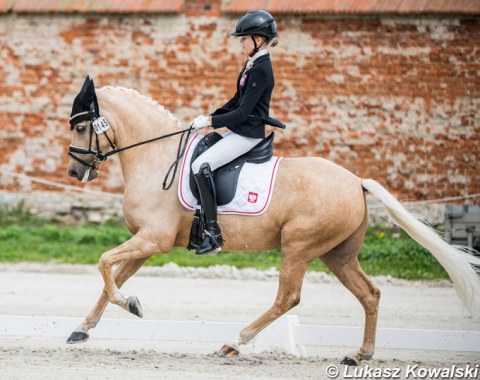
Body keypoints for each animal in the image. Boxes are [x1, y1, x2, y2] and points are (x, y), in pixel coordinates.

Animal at [66, 84, 480, 366]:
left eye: (82, 128)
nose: (74, 171)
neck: (156, 157)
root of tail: (355, 182)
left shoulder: (153, 239)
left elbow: (104, 264)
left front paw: (131, 305)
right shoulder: (147, 242)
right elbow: (111, 278)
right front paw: (82, 329)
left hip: (299, 247)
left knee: (288, 298)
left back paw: (234, 342)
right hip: (338, 254)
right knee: (370, 294)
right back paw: (358, 354)